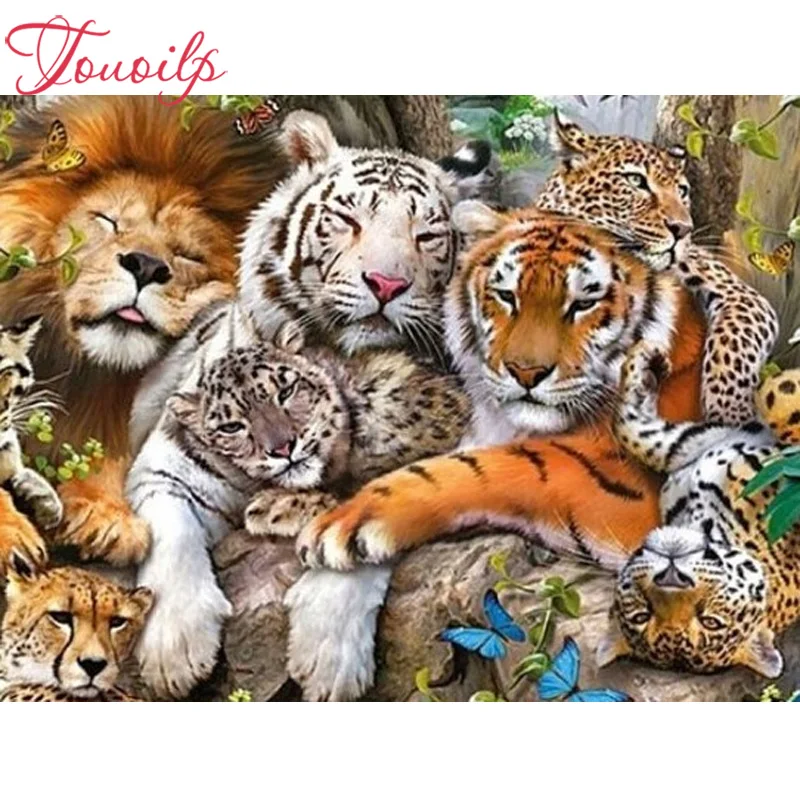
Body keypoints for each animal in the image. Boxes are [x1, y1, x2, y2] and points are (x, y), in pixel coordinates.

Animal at [0, 96, 289, 566]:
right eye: (108, 220)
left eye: (188, 254)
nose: (147, 265)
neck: (83, 370)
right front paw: (12, 533)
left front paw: (105, 513)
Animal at [126, 311, 469, 699]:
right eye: (231, 427)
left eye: (285, 391)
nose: (282, 447)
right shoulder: (164, 471)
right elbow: (169, 530)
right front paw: (174, 651)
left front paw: (327, 656)